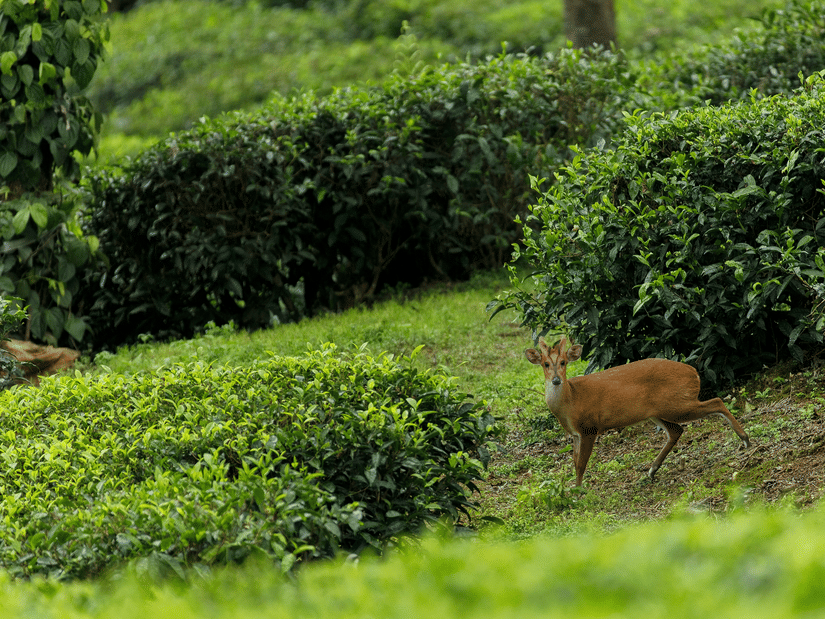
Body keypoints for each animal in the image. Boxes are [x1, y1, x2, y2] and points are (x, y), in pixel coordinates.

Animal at [525, 337, 750, 486]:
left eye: (563, 362)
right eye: (546, 364)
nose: (556, 380)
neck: (571, 400)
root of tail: (693, 372)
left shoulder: (590, 427)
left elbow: (581, 464)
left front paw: (577, 491)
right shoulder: (575, 434)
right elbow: (574, 462)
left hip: (677, 403)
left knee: (717, 401)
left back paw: (745, 438)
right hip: (658, 412)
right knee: (677, 430)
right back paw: (651, 471)